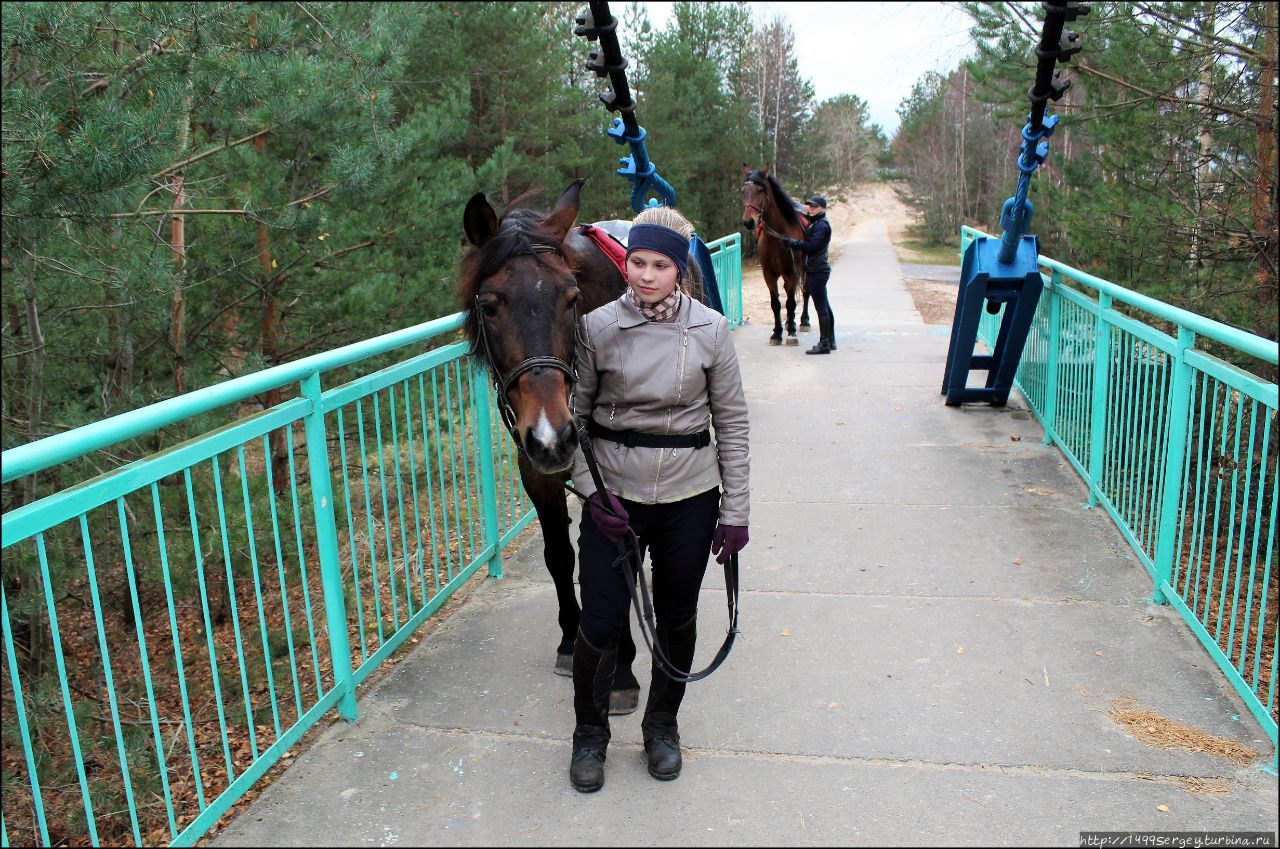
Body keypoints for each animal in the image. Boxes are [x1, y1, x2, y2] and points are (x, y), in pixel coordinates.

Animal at [458, 179, 706, 717]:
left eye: (571, 299)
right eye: (488, 305)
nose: (553, 435)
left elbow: (619, 557)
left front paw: (622, 671)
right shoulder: (537, 469)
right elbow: (560, 556)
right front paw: (572, 642)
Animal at [742, 163, 808, 343]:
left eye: (760, 190)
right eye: (743, 190)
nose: (748, 222)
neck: (777, 238)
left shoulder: (791, 272)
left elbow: (791, 303)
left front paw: (791, 331)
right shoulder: (769, 274)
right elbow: (776, 303)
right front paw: (777, 333)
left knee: (806, 292)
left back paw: (803, 321)